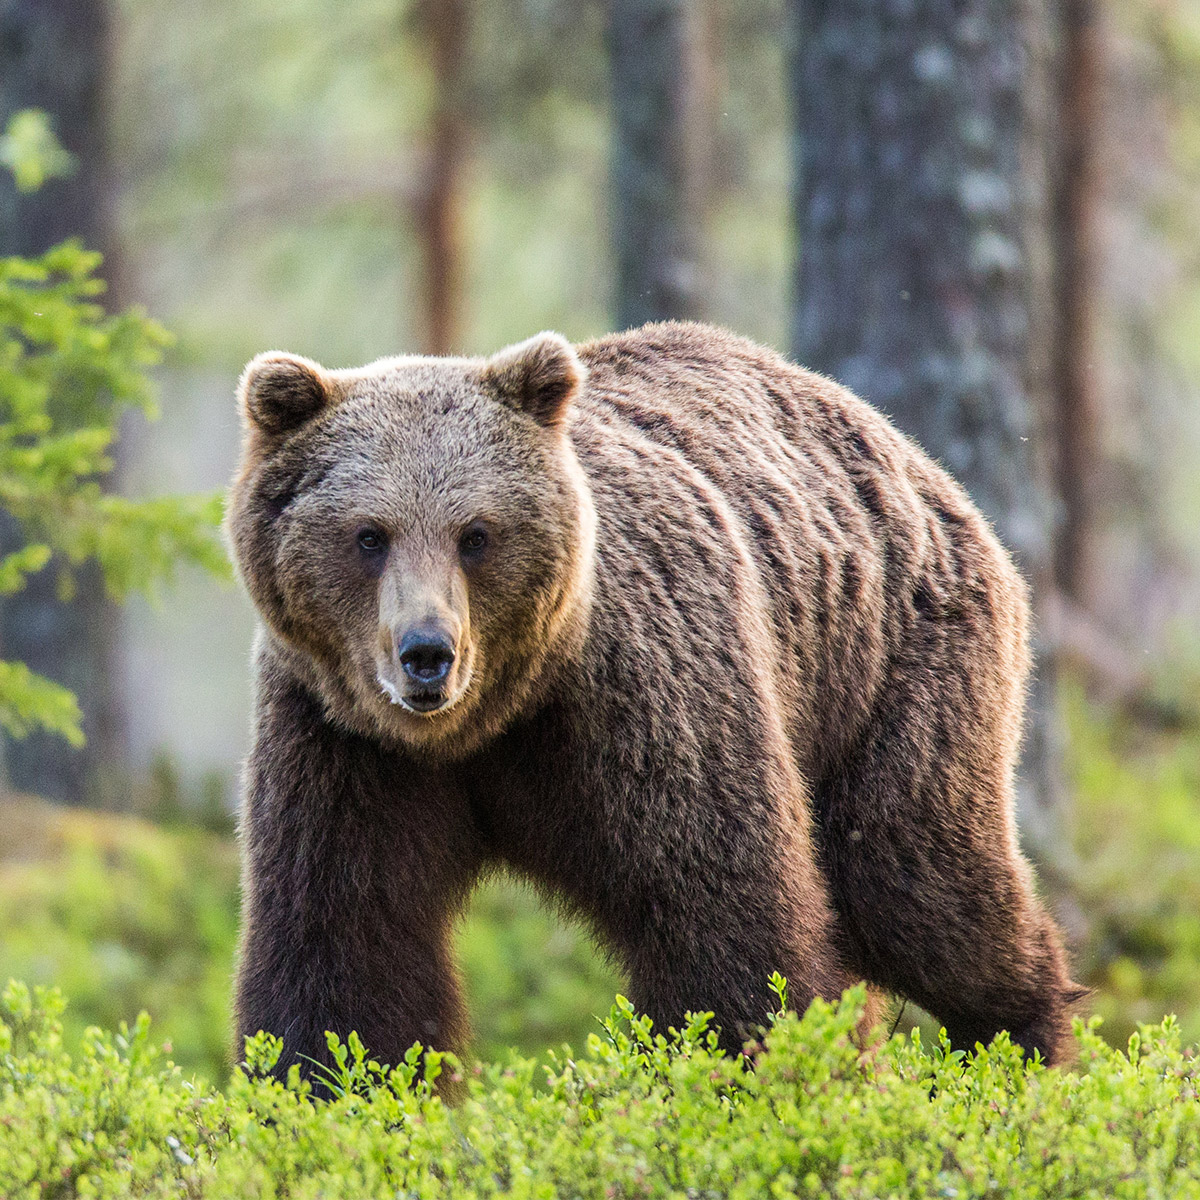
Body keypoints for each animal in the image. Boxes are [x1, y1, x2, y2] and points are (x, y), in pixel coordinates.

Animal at [227, 320, 1079, 1087]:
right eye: (370, 535)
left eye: (476, 534)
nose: (428, 653)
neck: (487, 724)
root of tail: (908, 453)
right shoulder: (344, 744)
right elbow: (346, 947)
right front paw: (334, 1093)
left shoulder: (641, 702)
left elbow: (723, 914)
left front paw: (748, 1078)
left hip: (892, 669)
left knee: (919, 887)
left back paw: (1024, 1052)